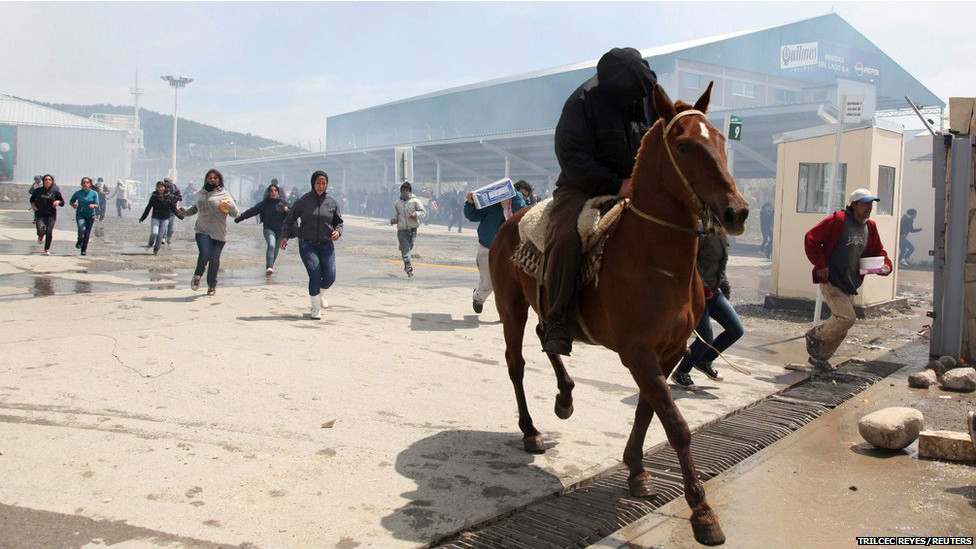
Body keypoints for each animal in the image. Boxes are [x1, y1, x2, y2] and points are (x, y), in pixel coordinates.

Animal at [488, 83, 748, 544]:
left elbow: (648, 409)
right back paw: (531, 431)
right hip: (510, 305)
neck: (655, 256)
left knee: (547, 338)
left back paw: (565, 397)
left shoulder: (667, 352)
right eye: (683, 145)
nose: (736, 211)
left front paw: (637, 470)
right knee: (516, 363)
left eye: (720, 139)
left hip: (545, 307)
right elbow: (675, 423)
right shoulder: (638, 352)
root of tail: (510, 218)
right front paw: (701, 510)